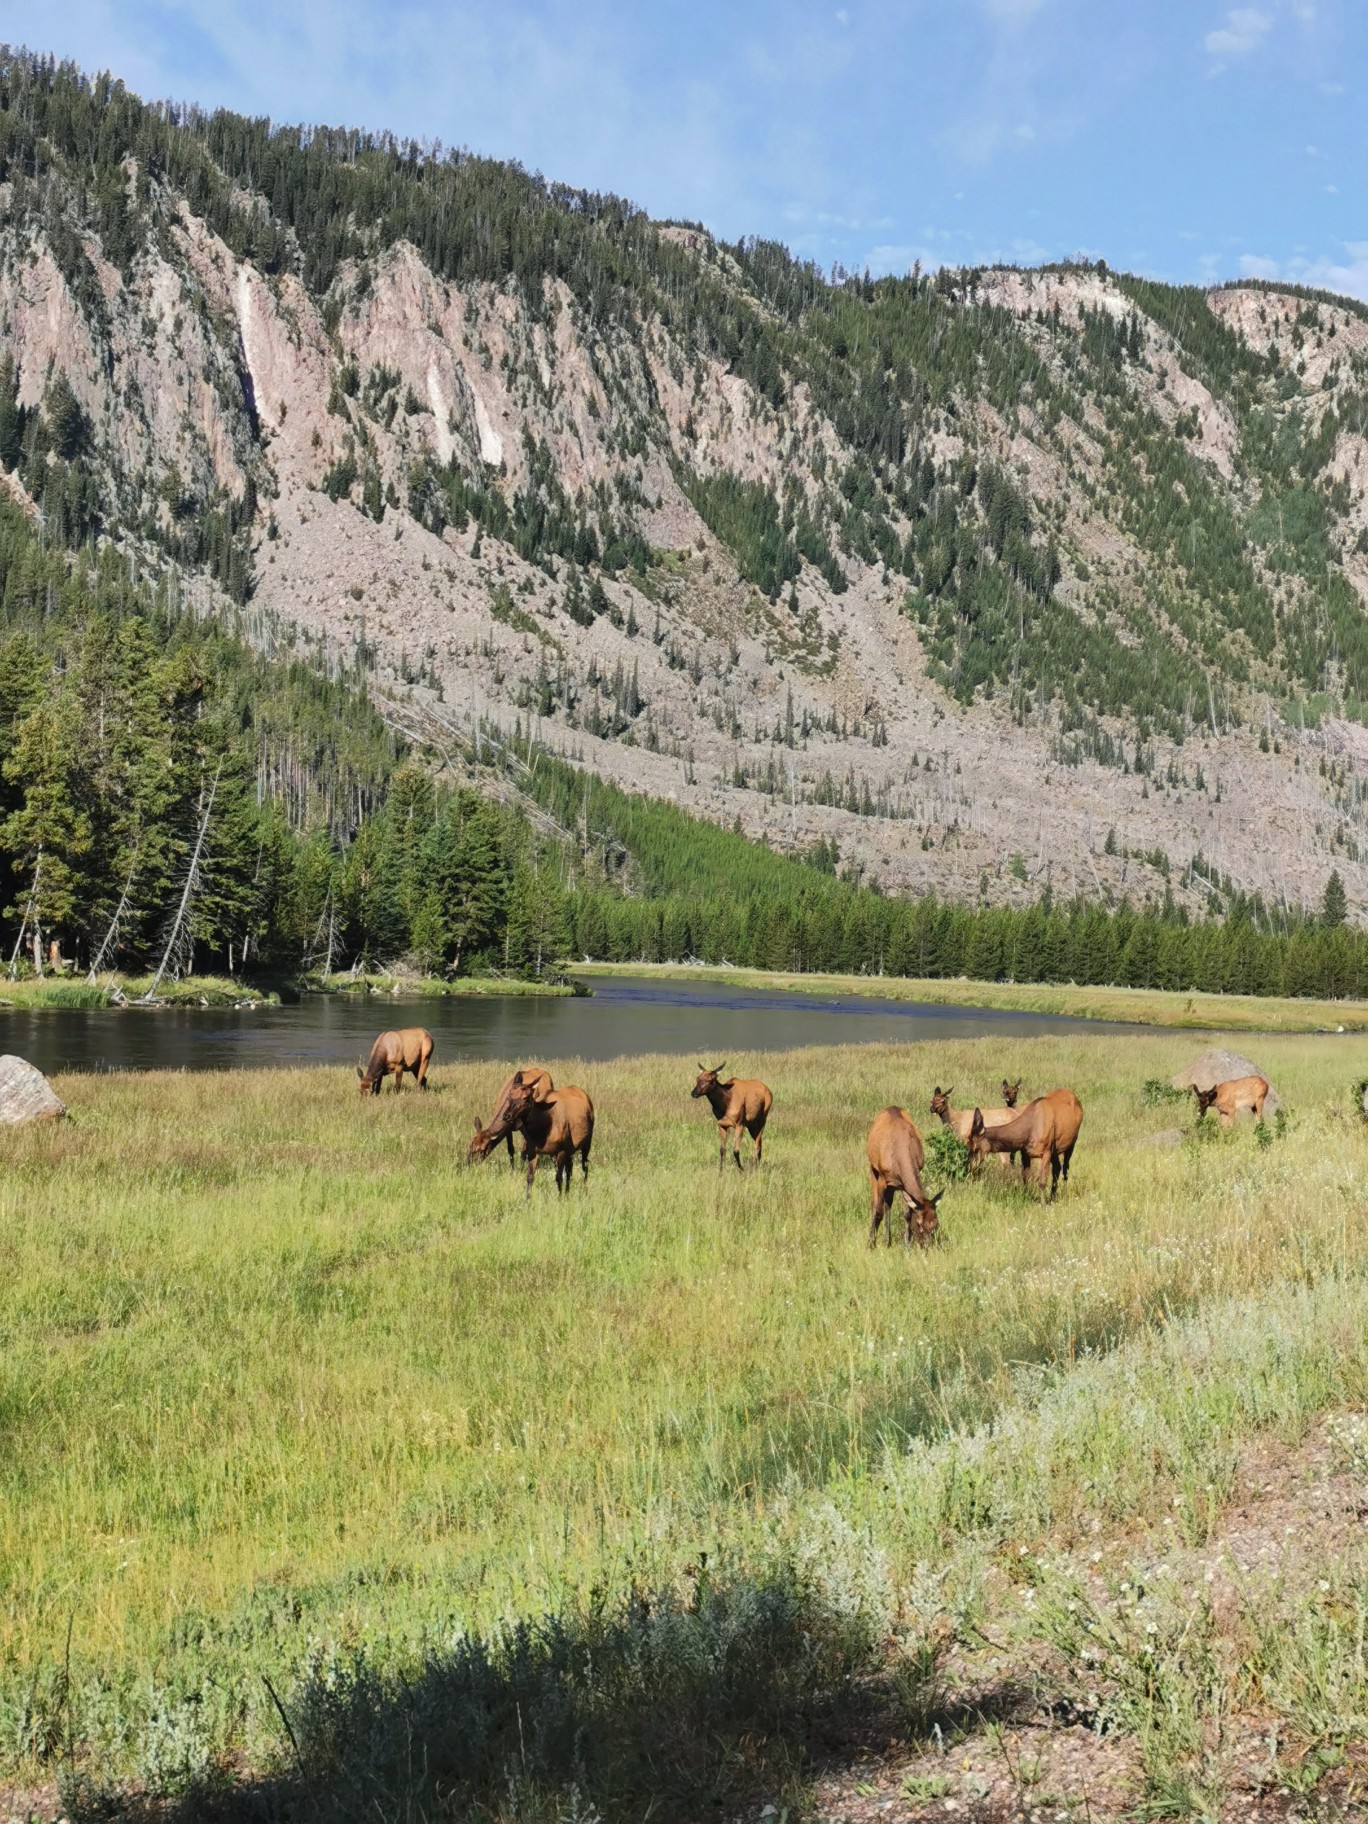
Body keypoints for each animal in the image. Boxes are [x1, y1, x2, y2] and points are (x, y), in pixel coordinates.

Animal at [470, 1065, 590, 1196]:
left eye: (482, 1150)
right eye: (470, 1147)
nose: (469, 1164)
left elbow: (523, 1151)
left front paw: (520, 1169)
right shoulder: (509, 1129)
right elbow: (511, 1149)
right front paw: (513, 1170)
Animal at [868, 1101, 941, 1247]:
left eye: (936, 1224)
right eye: (919, 1223)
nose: (927, 1246)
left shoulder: (906, 1179)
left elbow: (906, 1212)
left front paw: (907, 1245)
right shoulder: (883, 1177)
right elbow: (878, 1211)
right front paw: (871, 1245)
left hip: (894, 1184)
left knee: (888, 1203)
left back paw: (888, 1241)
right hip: (873, 1169)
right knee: (875, 1203)